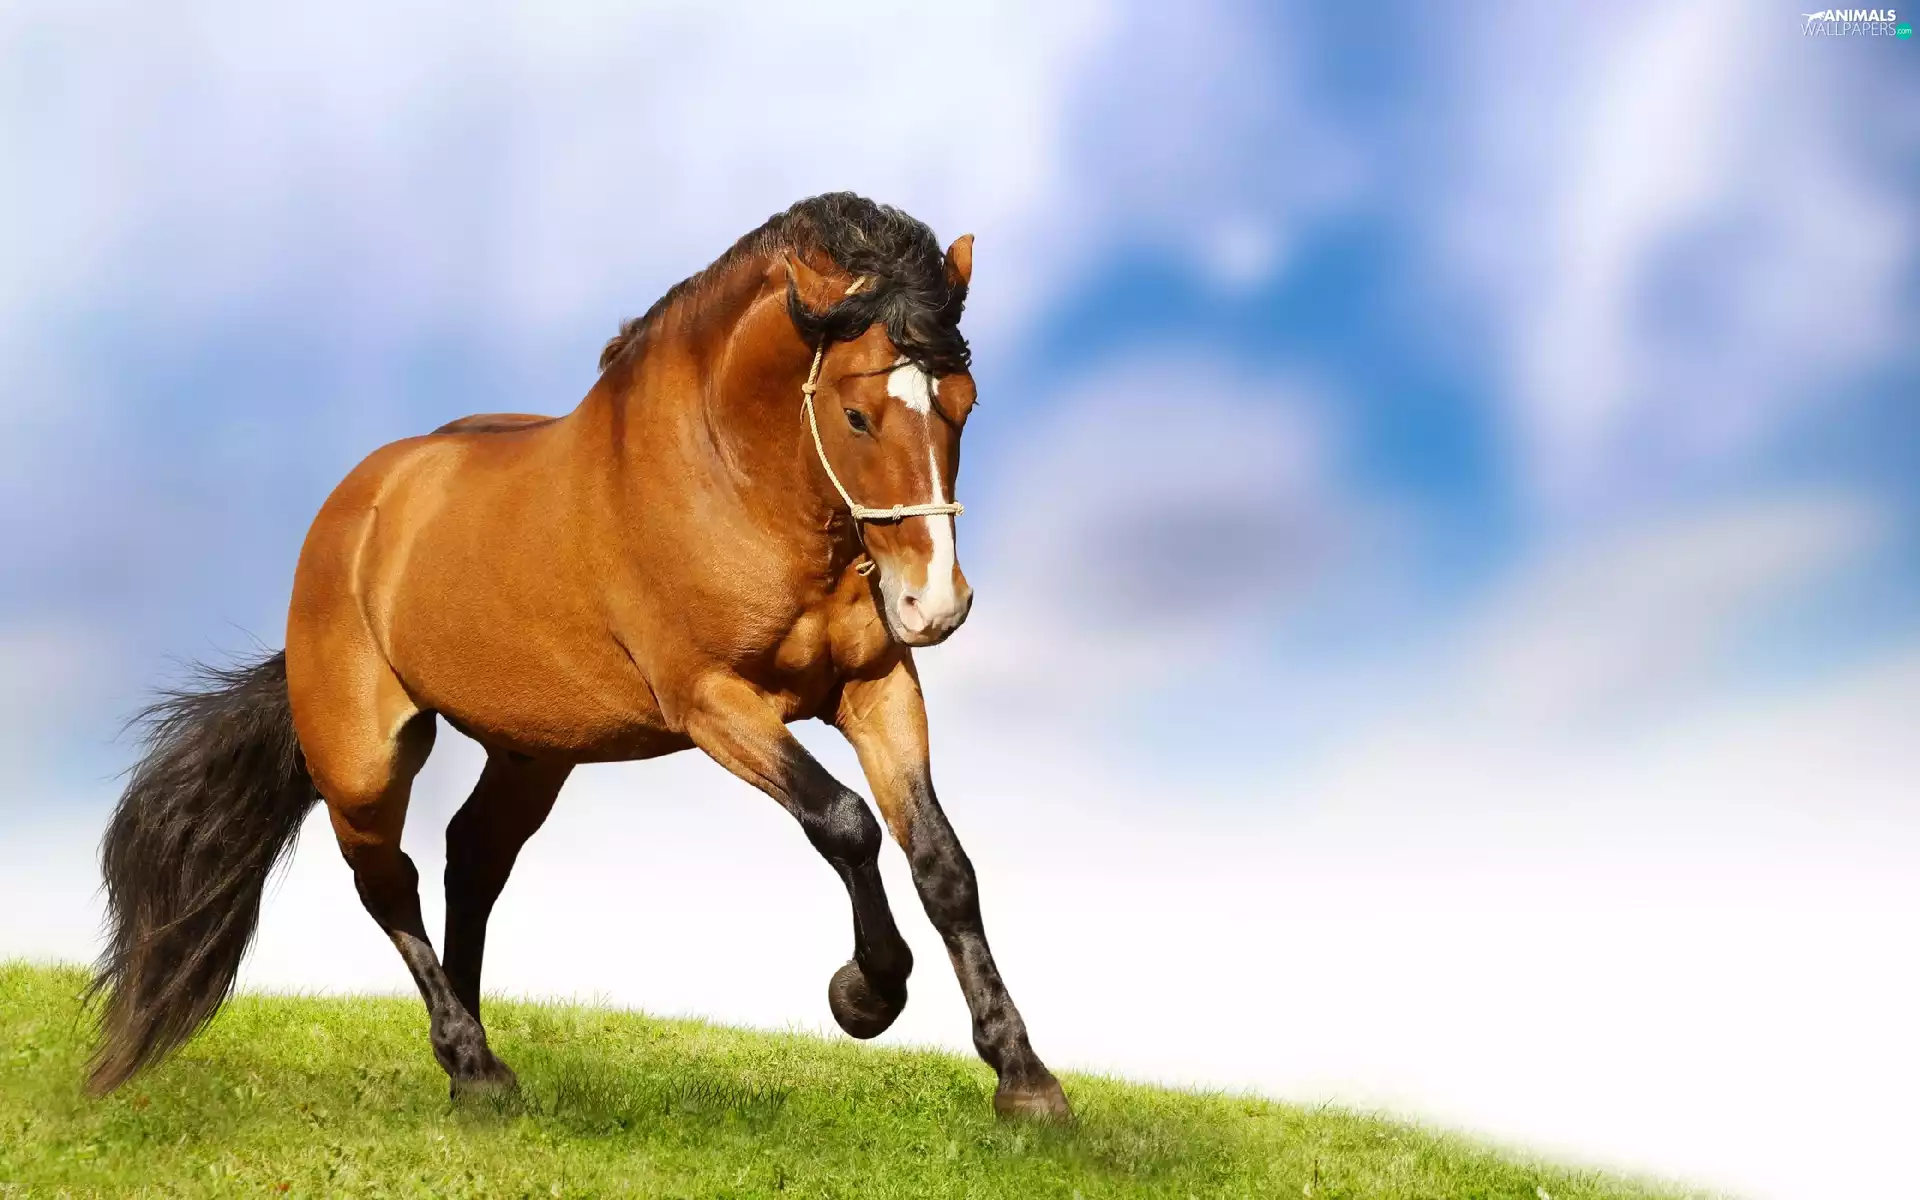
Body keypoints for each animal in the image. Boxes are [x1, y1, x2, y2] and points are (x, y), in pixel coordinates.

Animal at [86, 192, 1071, 1122]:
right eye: (859, 415)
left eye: (963, 405)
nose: (934, 604)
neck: (733, 482)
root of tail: (352, 512)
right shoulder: (713, 702)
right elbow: (844, 821)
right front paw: (865, 994)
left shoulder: (875, 687)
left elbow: (942, 862)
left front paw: (1025, 1081)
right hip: (364, 760)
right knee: (388, 883)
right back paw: (475, 1067)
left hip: (531, 752)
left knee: (472, 861)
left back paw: (469, 1064)